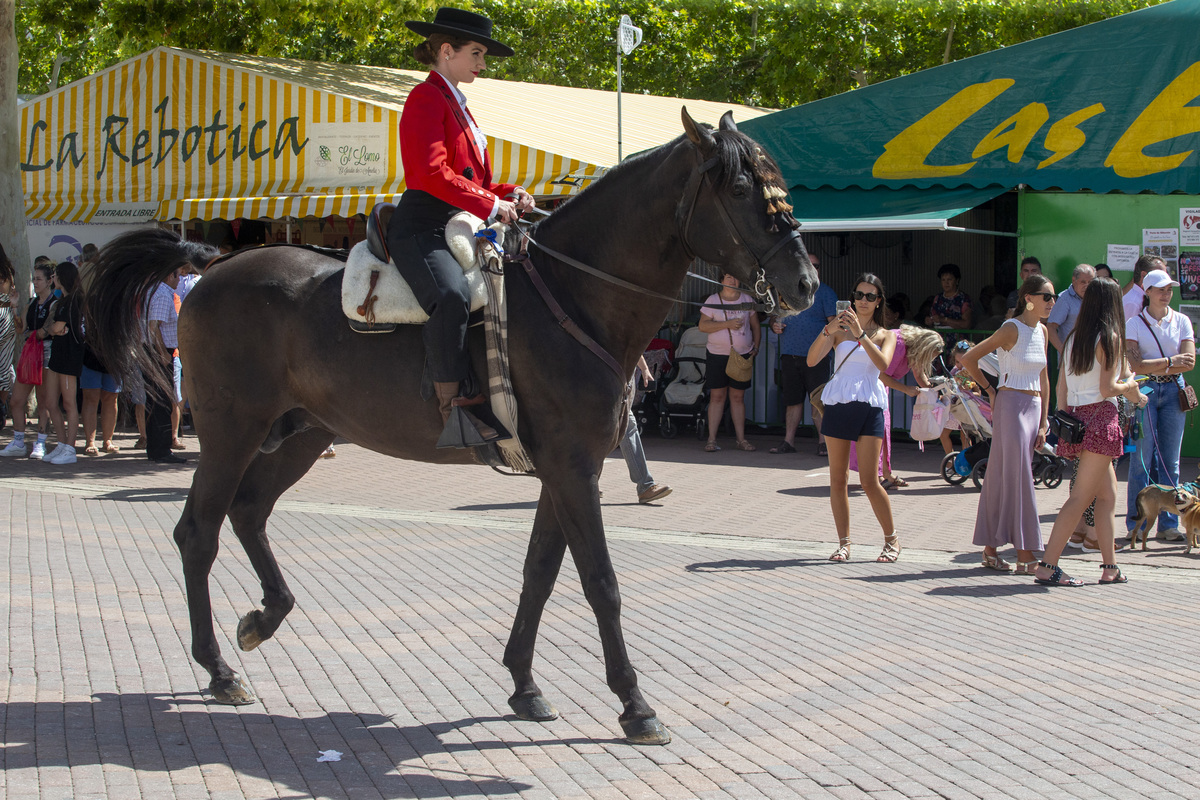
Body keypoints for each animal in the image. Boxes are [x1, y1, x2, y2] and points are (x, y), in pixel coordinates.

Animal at [87, 109, 816, 748]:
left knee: (247, 513)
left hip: (302, 433)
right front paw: (635, 706)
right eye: (742, 188)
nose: (805, 283)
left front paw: (524, 685)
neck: (572, 297)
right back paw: (218, 669)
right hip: (233, 431)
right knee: (199, 533)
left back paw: (263, 619)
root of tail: (213, 265)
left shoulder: (562, 470)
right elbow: (600, 583)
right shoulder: (574, 468)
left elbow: (540, 573)